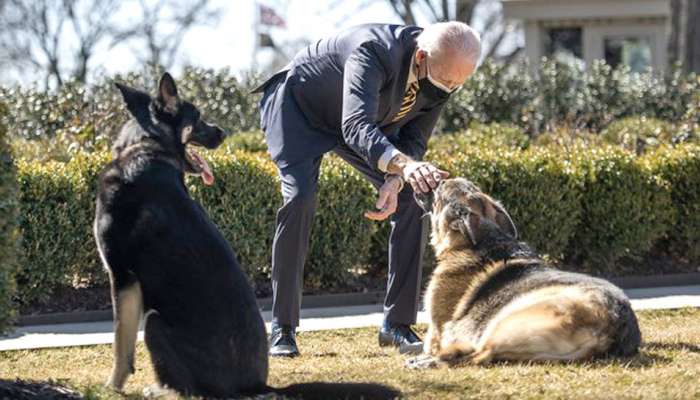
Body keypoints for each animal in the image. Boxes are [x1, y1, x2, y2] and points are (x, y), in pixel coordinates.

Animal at [408, 179, 644, 368]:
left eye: (440, 189)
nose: (430, 180)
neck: (484, 238)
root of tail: (613, 328)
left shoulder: (436, 332)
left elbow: (433, 342)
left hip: (504, 322)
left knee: (480, 355)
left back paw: (428, 362)